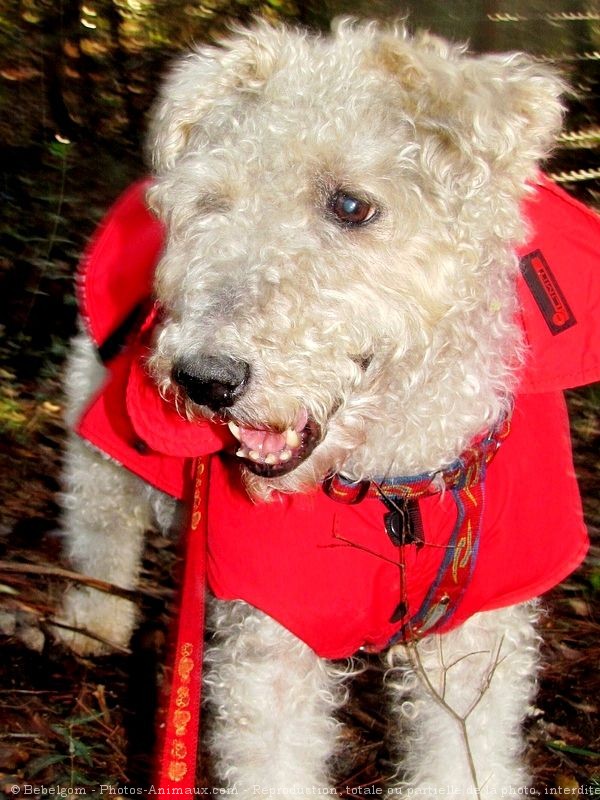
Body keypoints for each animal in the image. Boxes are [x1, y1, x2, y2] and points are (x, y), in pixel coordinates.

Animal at [52, 17, 596, 792]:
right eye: (211, 203)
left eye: (350, 205)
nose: (205, 379)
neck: (393, 480)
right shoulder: (271, 639)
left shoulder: (475, 645)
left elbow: (466, 761)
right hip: (95, 422)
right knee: (98, 523)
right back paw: (92, 621)